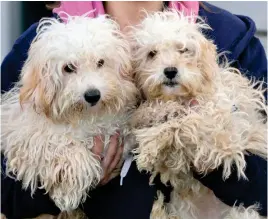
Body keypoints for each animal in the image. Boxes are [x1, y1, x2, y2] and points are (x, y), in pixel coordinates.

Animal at [2, 13, 138, 212]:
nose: (92, 95)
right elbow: (62, 145)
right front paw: (69, 191)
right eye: (69, 68)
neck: (84, 116)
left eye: (100, 62)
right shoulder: (24, 135)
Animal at [129, 9, 266, 219]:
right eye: (152, 53)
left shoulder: (225, 132)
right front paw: (151, 115)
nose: (170, 71)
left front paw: (151, 143)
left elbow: (185, 124)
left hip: (243, 212)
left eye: (183, 50)